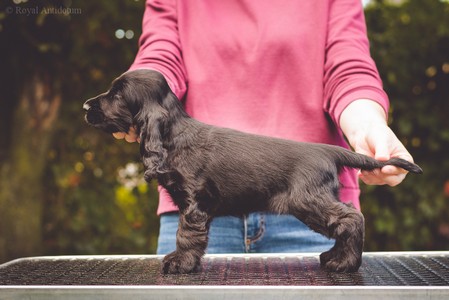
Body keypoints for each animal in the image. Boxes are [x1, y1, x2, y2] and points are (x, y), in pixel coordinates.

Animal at [84, 69, 424, 274]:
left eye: (117, 95)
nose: (86, 107)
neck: (174, 135)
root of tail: (327, 150)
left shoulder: (195, 202)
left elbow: (186, 235)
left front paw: (180, 262)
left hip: (306, 200)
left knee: (352, 218)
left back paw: (345, 263)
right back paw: (334, 257)